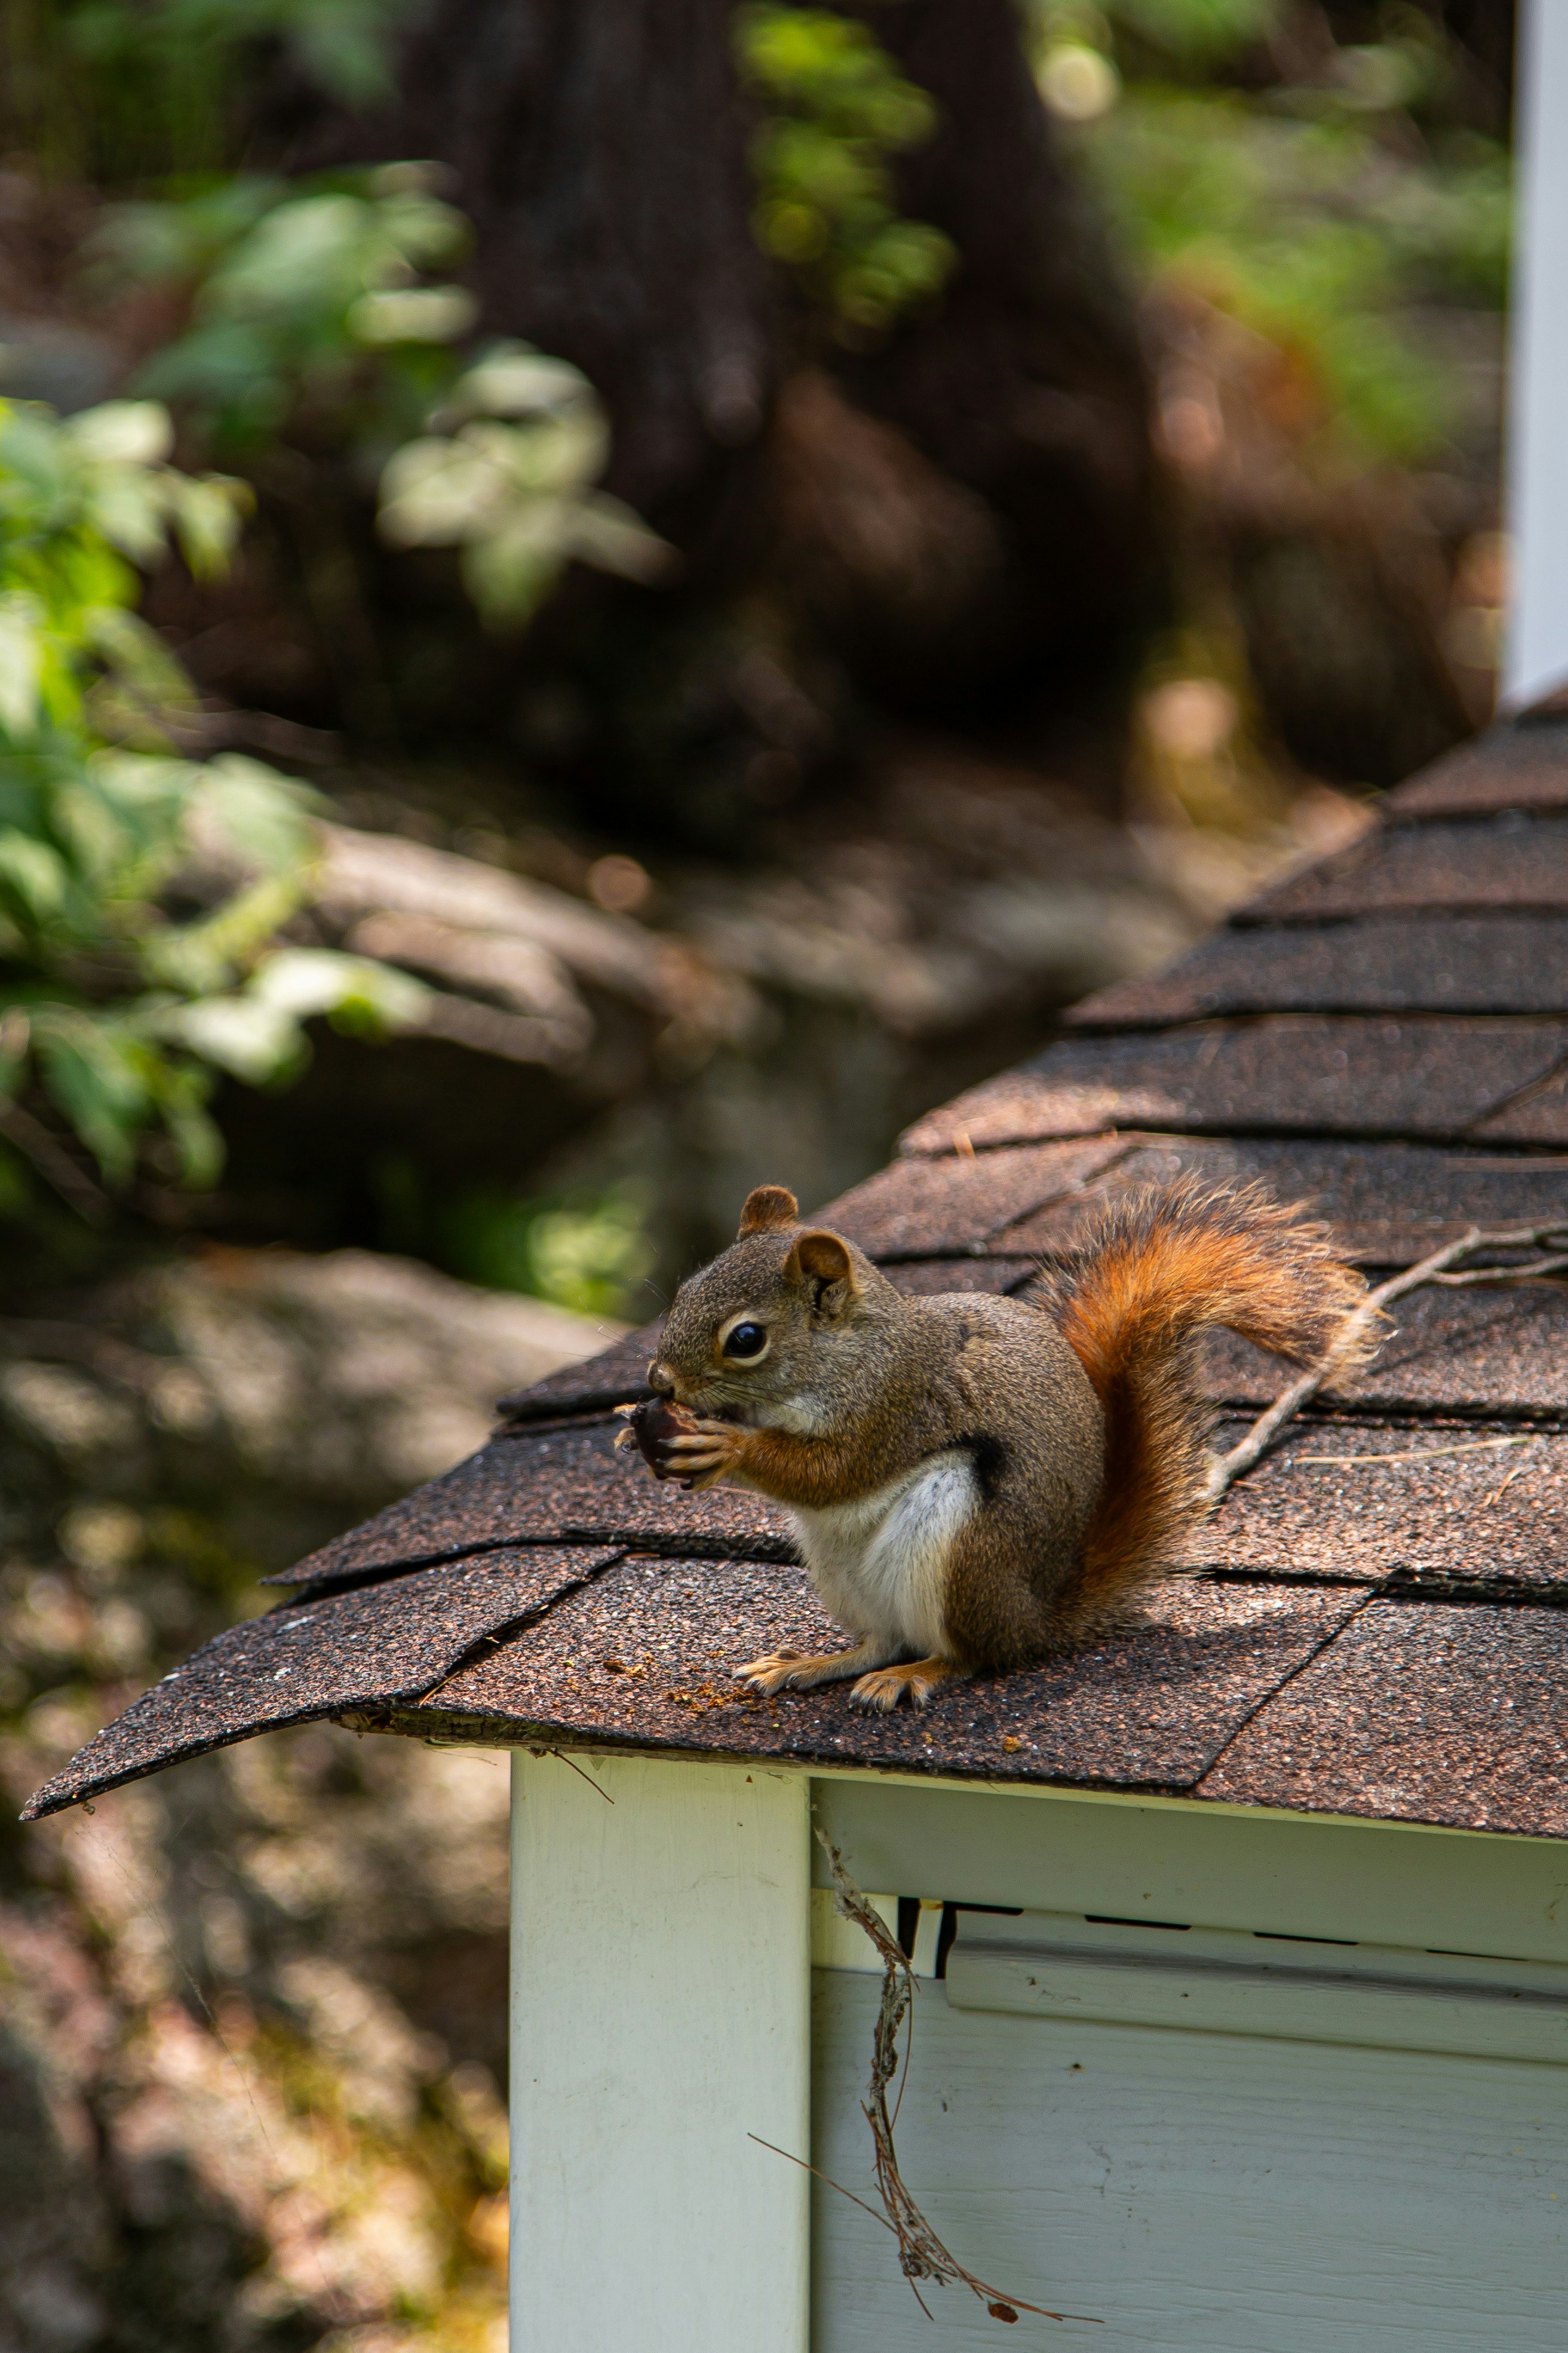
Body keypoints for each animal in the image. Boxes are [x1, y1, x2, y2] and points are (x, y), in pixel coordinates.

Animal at [616, 1176, 1376, 1712]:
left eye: (746, 1338)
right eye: (684, 1291)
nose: (659, 1380)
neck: (851, 1352)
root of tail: (1037, 1619)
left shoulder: (895, 1402)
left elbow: (835, 1471)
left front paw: (726, 1447)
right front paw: (633, 1425)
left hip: (963, 1547)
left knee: (974, 1654)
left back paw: (920, 1671)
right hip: (840, 1570)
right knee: (879, 1640)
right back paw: (813, 1664)